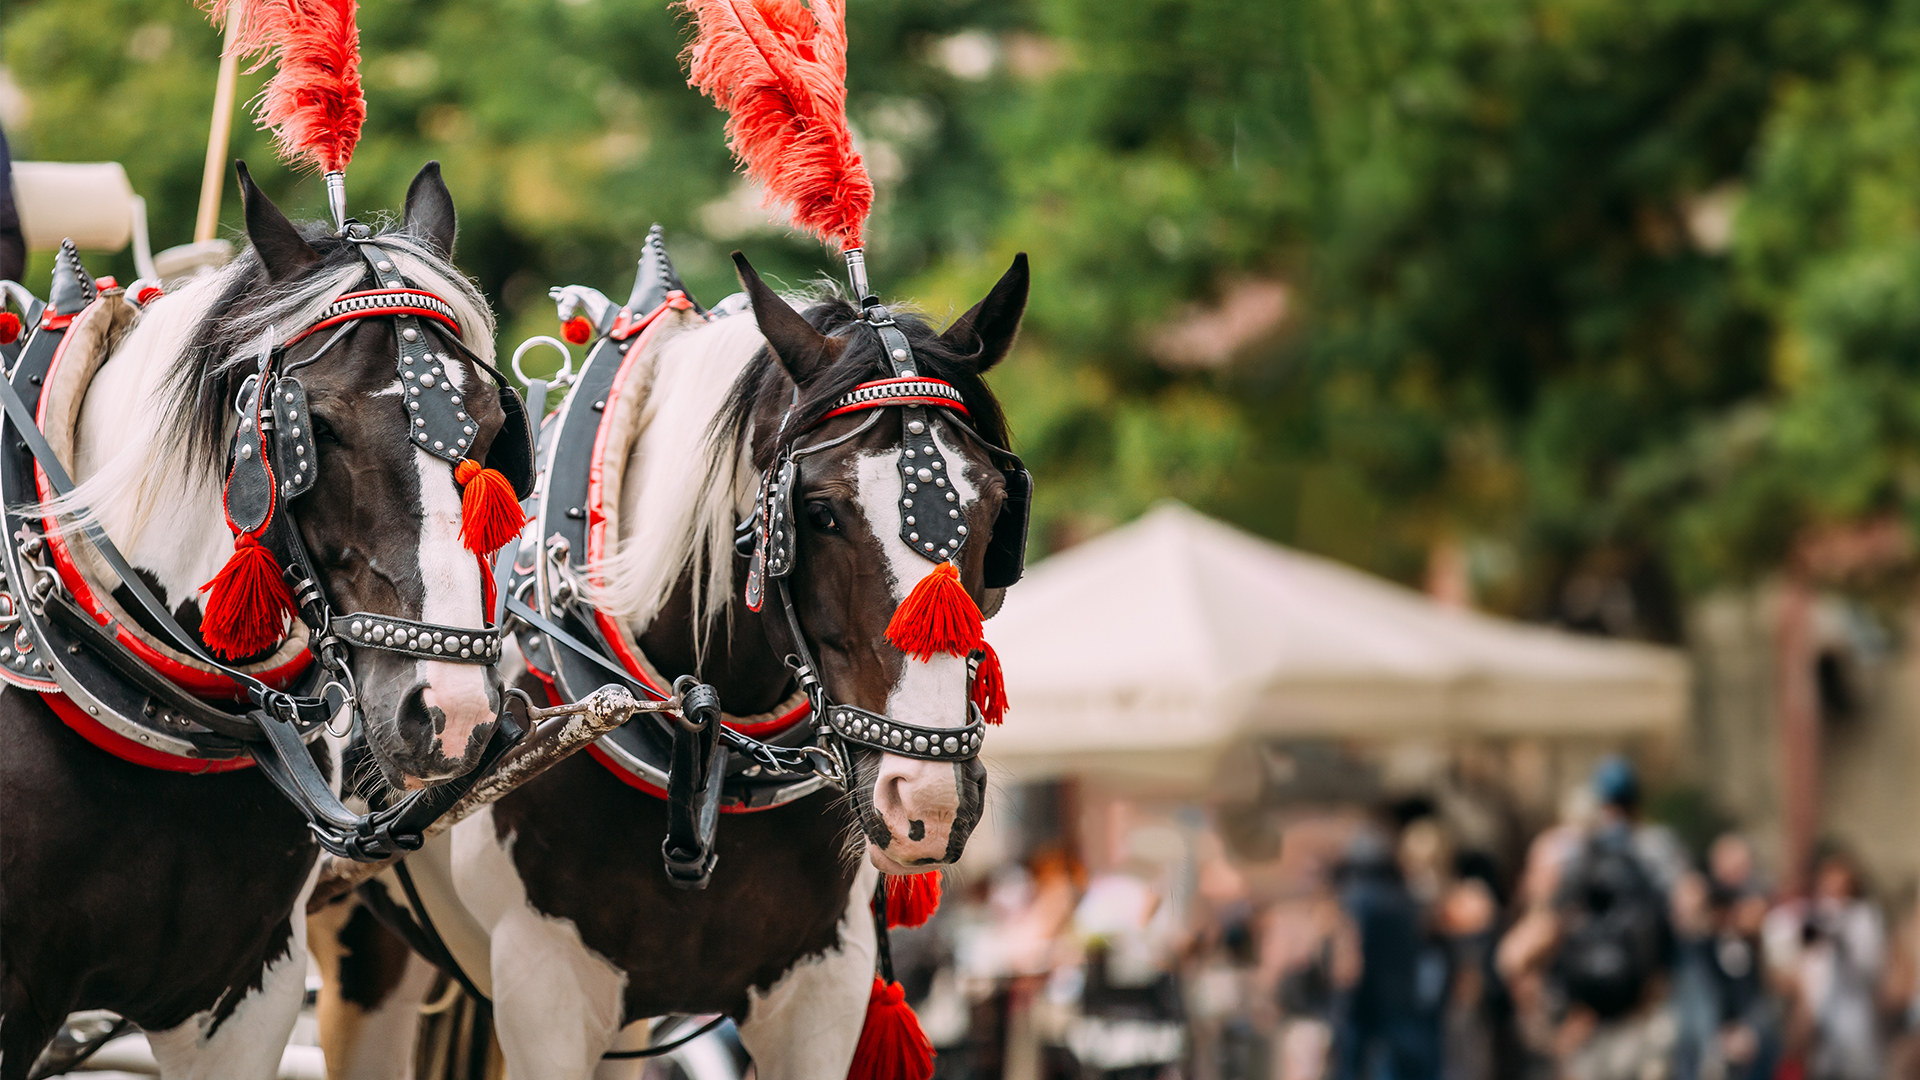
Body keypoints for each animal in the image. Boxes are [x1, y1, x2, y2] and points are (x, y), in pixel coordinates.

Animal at [311, 247, 1030, 1080]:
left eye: (995, 507)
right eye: (819, 512)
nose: (929, 799)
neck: (699, 745)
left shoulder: (821, 993)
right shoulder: (544, 993)